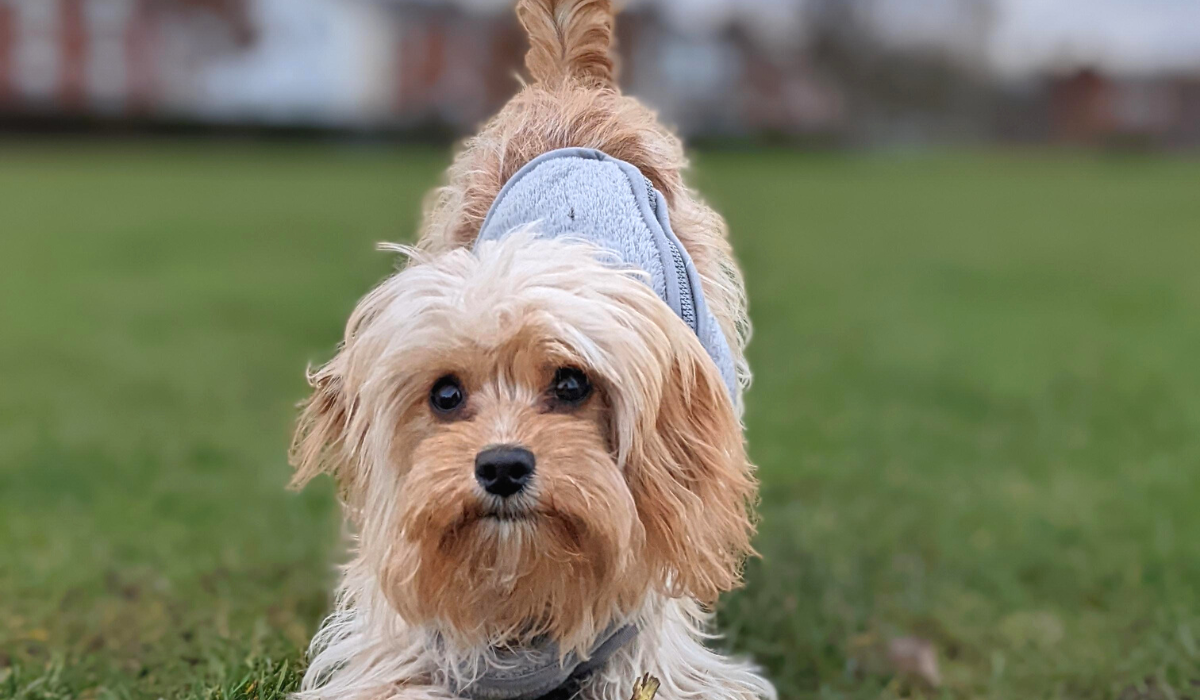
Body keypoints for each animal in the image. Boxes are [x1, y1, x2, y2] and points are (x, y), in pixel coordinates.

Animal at [290, 1, 772, 700]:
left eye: (572, 384)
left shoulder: (649, 651)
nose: (501, 466)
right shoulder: (396, 647)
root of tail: (571, 86)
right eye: (445, 394)